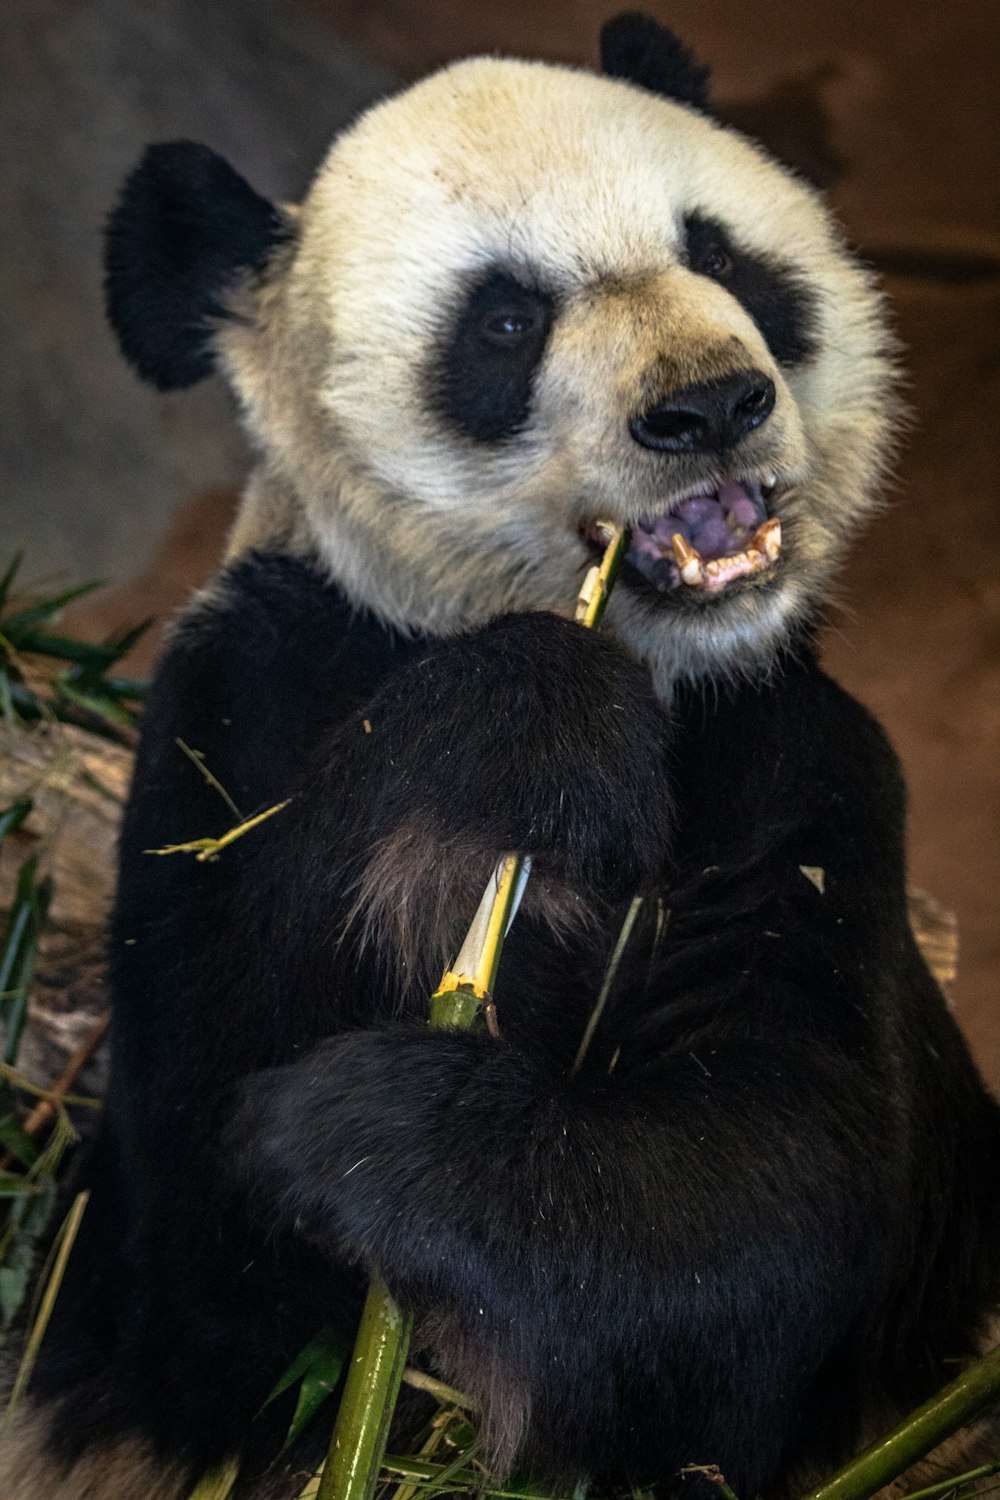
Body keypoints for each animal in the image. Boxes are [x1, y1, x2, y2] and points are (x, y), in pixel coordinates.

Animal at [3, 11, 995, 1500]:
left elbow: (771, 1207)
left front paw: (369, 1131)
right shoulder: (234, 696)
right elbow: (189, 1243)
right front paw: (528, 734)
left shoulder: (799, 758)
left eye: (720, 256)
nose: (709, 406)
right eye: (507, 322)